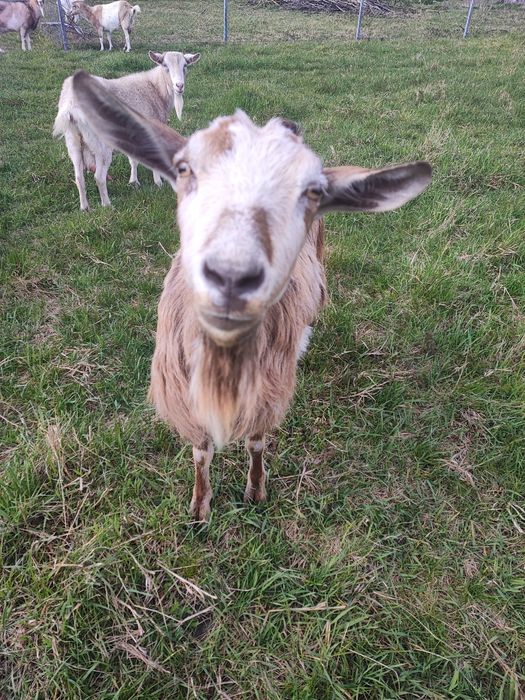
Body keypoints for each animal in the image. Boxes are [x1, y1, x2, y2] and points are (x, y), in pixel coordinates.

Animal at [53, 51, 201, 210]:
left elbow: (133, 160)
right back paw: (107, 205)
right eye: (165, 65)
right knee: (99, 177)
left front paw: (133, 182)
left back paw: (85, 208)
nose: (179, 86)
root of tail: (70, 107)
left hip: (73, 140)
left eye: (185, 66)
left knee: (79, 177)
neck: (155, 89)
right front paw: (158, 182)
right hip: (101, 145)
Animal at [72, 70, 432, 521]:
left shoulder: (267, 393)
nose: (231, 275)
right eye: (183, 168)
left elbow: (257, 443)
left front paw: (255, 491)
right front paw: (200, 507)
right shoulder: (184, 398)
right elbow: (200, 453)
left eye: (312, 191)